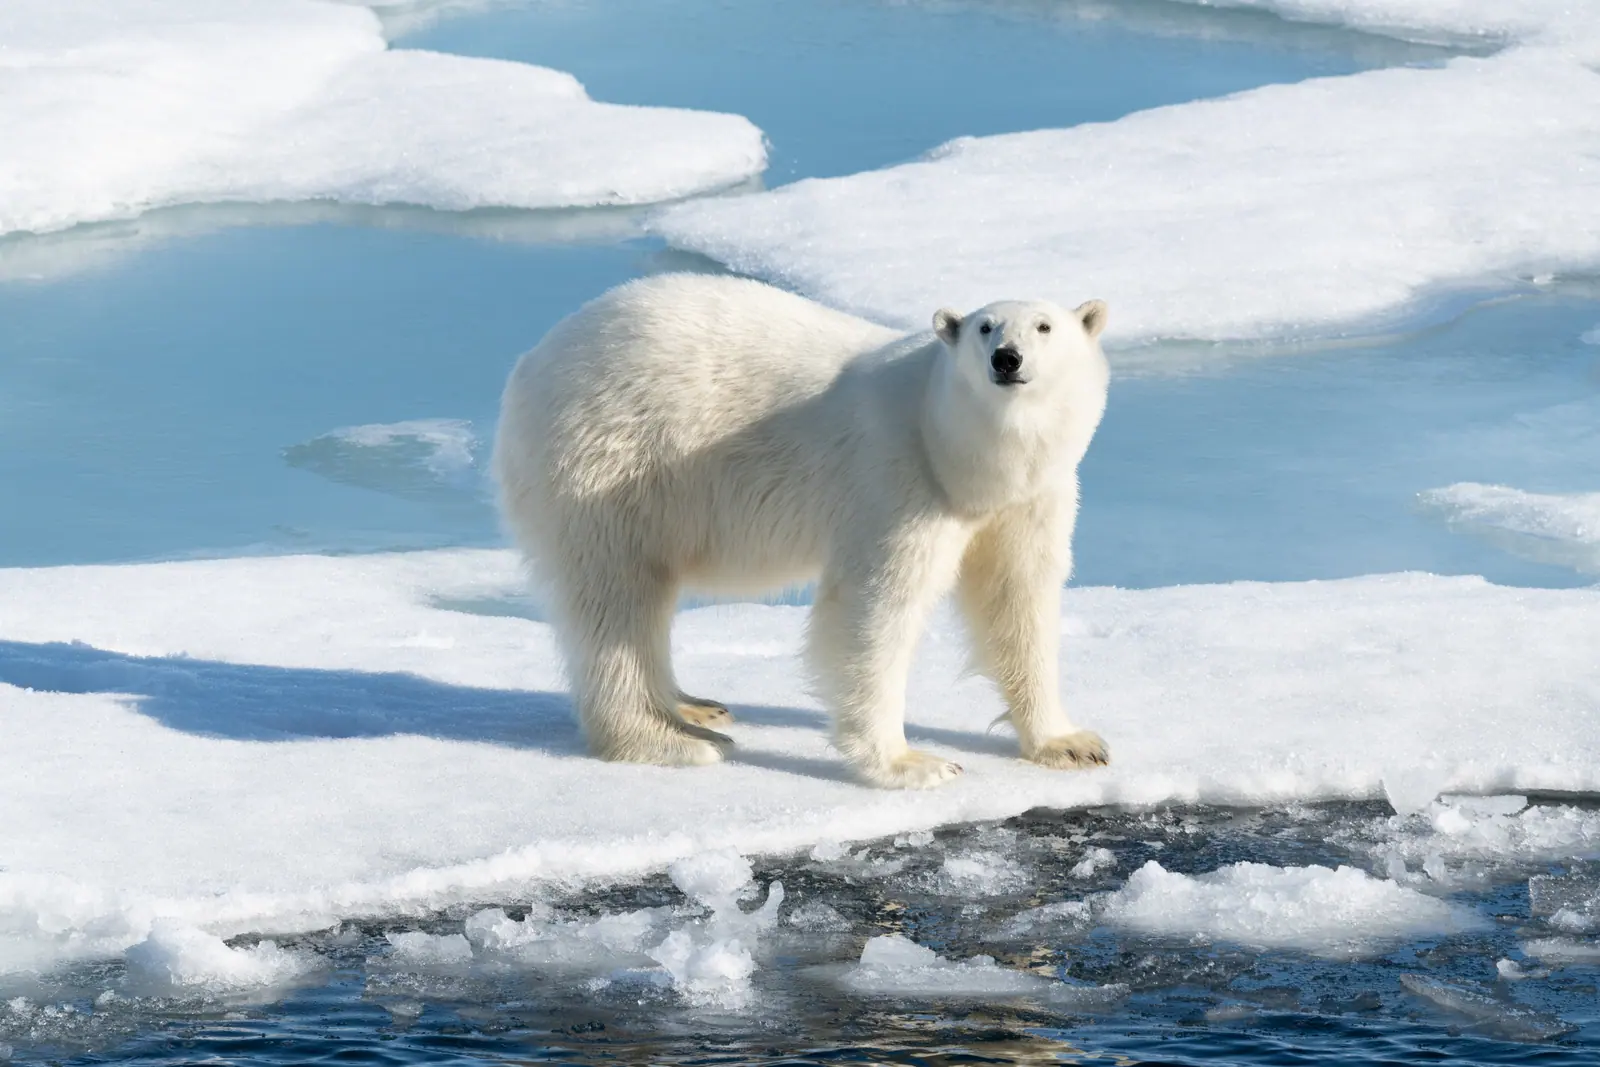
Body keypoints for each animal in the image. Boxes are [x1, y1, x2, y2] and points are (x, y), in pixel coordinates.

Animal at [492, 273, 1111, 789]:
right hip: (607, 463)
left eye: (1045, 326)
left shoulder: (1031, 498)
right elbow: (873, 611)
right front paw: (913, 763)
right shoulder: (897, 480)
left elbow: (1018, 597)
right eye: (985, 328)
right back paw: (674, 741)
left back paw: (695, 706)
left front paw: (1072, 743)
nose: (1007, 359)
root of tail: (528, 363)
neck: (956, 452)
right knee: (615, 601)